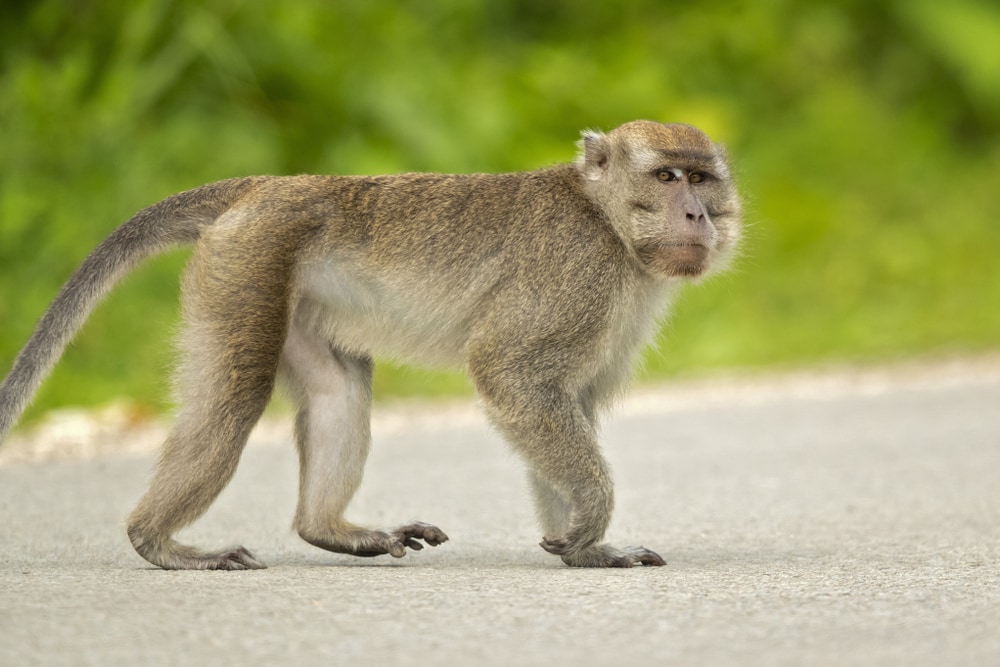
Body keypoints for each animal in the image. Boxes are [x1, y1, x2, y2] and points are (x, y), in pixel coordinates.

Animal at [0, 120, 741, 570]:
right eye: (668, 178)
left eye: (703, 179)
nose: (698, 214)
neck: (605, 220)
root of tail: (262, 187)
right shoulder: (577, 274)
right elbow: (512, 375)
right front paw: (591, 523)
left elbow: (560, 399)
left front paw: (583, 549)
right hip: (246, 265)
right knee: (233, 399)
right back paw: (158, 542)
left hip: (290, 291)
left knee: (336, 389)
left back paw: (327, 528)